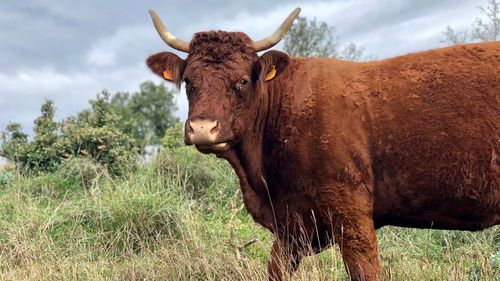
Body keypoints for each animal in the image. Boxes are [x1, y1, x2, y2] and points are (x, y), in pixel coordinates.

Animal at [146, 7, 498, 280]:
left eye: (242, 81)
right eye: (189, 82)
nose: (203, 128)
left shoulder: (350, 211)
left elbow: (365, 271)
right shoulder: (293, 225)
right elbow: (275, 270)